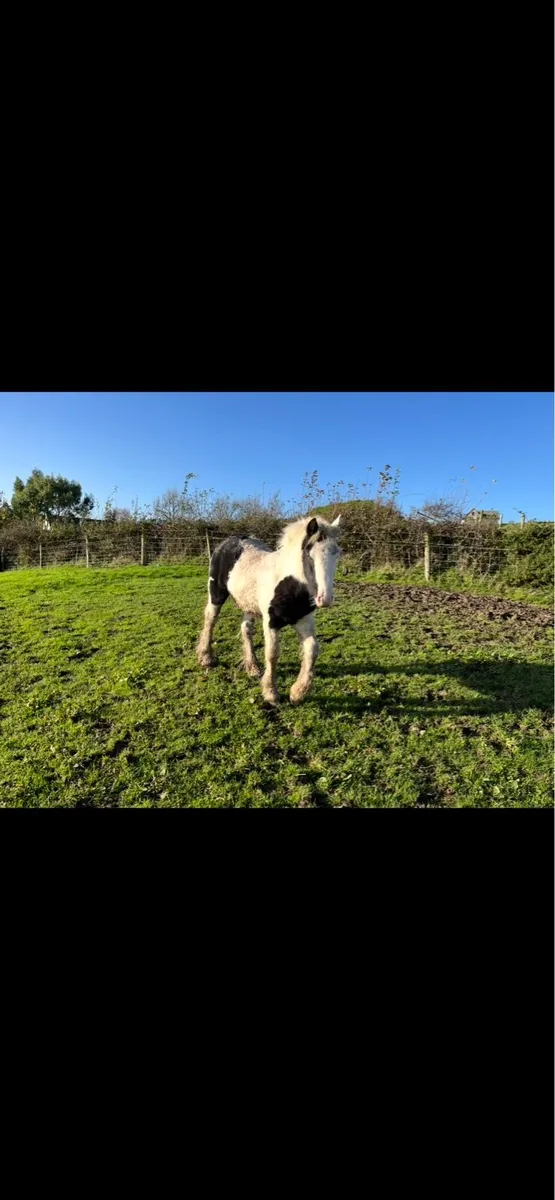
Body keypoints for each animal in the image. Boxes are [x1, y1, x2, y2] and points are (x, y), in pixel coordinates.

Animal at [196, 514, 343, 704]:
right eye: (310, 553)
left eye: (337, 553)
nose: (325, 599)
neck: (290, 584)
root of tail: (231, 540)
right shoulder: (270, 622)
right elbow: (272, 653)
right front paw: (271, 693)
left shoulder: (304, 621)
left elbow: (312, 649)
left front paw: (297, 692)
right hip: (216, 593)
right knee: (210, 620)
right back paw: (206, 658)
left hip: (249, 604)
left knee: (246, 629)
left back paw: (252, 667)